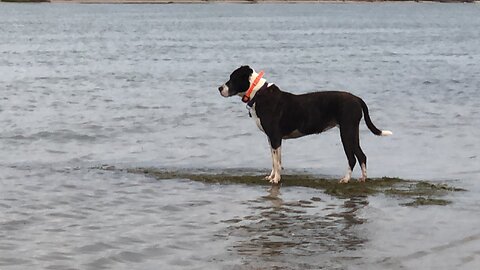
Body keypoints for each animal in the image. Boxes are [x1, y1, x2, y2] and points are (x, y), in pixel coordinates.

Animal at [219, 65, 392, 184]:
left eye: (233, 78)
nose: (220, 88)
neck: (258, 94)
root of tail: (357, 99)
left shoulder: (275, 137)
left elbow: (276, 161)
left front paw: (276, 180)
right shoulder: (271, 138)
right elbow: (275, 160)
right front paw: (271, 176)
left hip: (347, 131)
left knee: (352, 158)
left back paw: (346, 179)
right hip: (352, 131)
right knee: (361, 155)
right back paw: (363, 179)